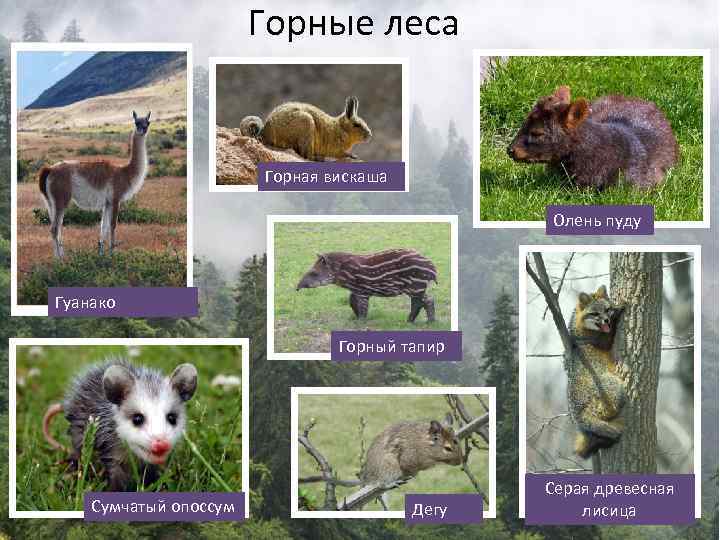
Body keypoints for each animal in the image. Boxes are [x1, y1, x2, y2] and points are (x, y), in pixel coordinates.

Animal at [38, 111, 152, 258]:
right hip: (61, 198)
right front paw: (112, 253)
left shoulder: (107, 202)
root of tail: (50, 169)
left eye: (148, 122)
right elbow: (113, 225)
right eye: (136, 122)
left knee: (57, 227)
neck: (125, 172)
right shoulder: (115, 199)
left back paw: (59, 256)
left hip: (51, 202)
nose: (142, 129)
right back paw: (60, 259)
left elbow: (103, 227)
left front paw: (101, 253)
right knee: (54, 228)